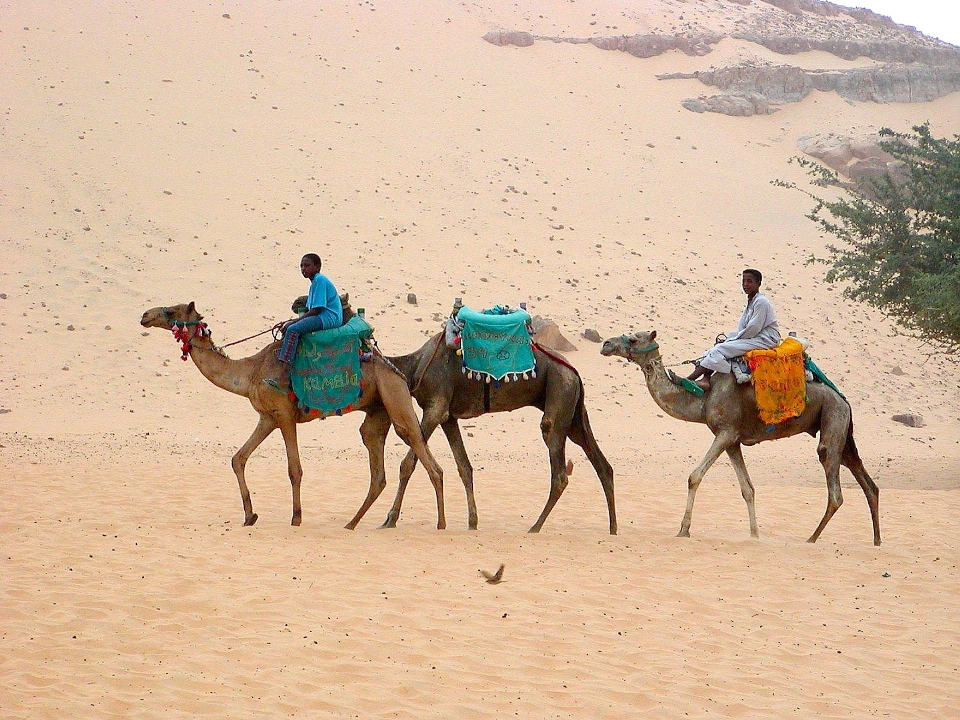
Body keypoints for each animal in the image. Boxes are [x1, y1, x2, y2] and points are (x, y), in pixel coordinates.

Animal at [140, 300, 446, 532]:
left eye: (173, 310)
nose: (145, 315)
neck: (250, 371)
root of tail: (396, 370)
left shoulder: (285, 415)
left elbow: (294, 469)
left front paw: (296, 518)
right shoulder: (267, 417)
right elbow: (238, 459)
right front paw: (250, 516)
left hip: (394, 396)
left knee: (424, 455)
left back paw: (440, 524)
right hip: (378, 410)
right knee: (378, 468)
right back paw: (352, 523)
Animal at [356, 300, 620, 532]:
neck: (414, 366)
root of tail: (574, 372)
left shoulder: (435, 407)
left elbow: (408, 464)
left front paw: (390, 520)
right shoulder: (449, 417)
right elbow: (464, 467)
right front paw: (472, 522)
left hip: (559, 391)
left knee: (559, 471)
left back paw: (535, 527)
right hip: (573, 412)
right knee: (602, 465)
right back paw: (612, 528)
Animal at [604, 332, 880, 544]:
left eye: (633, 338)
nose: (606, 344)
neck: (703, 399)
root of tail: (845, 400)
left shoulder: (725, 432)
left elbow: (695, 476)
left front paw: (683, 530)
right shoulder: (733, 439)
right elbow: (748, 488)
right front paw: (754, 535)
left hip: (833, 419)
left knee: (834, 487)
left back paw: (811, 539)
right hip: (842, 432)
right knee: (868, 483)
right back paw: (877, 541)